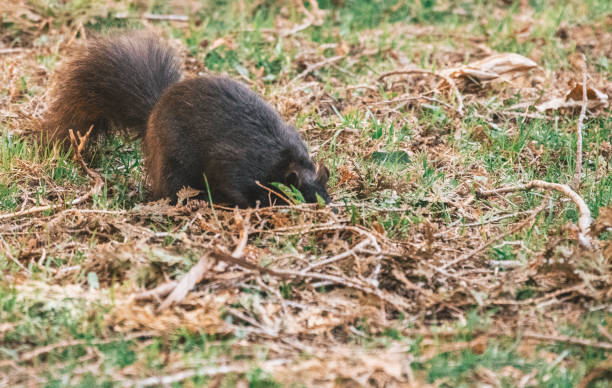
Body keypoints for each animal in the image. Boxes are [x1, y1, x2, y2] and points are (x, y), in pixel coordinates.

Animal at [44, 31, 330, 208]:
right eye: (305, 197)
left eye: (326, 193)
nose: (331, 211)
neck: (283, 161)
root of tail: (154, 111)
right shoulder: (235, 164)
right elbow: (236, 187)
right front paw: (253, 206)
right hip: (174, 158)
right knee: (169, 186)